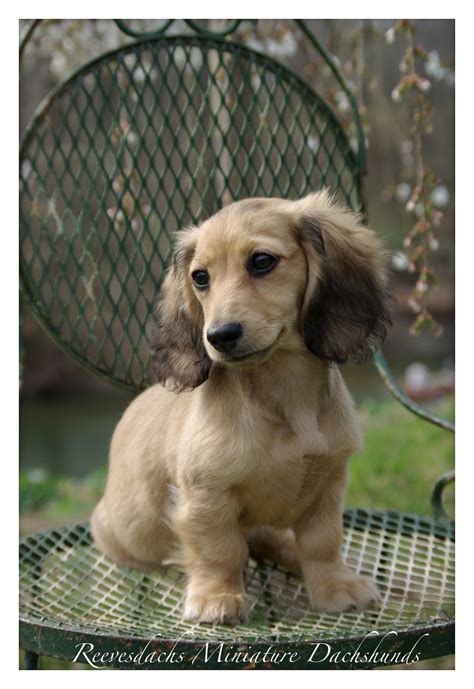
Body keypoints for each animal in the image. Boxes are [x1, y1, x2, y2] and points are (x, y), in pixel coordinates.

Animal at [90, 188, 390, 624]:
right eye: (200, 277)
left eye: (262, 261)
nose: (219, 336)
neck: (285, 400)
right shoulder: (206, 497)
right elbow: (220, 550)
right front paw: (218, 597)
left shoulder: (329, 483)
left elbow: (322, 542)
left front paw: (334, 587)